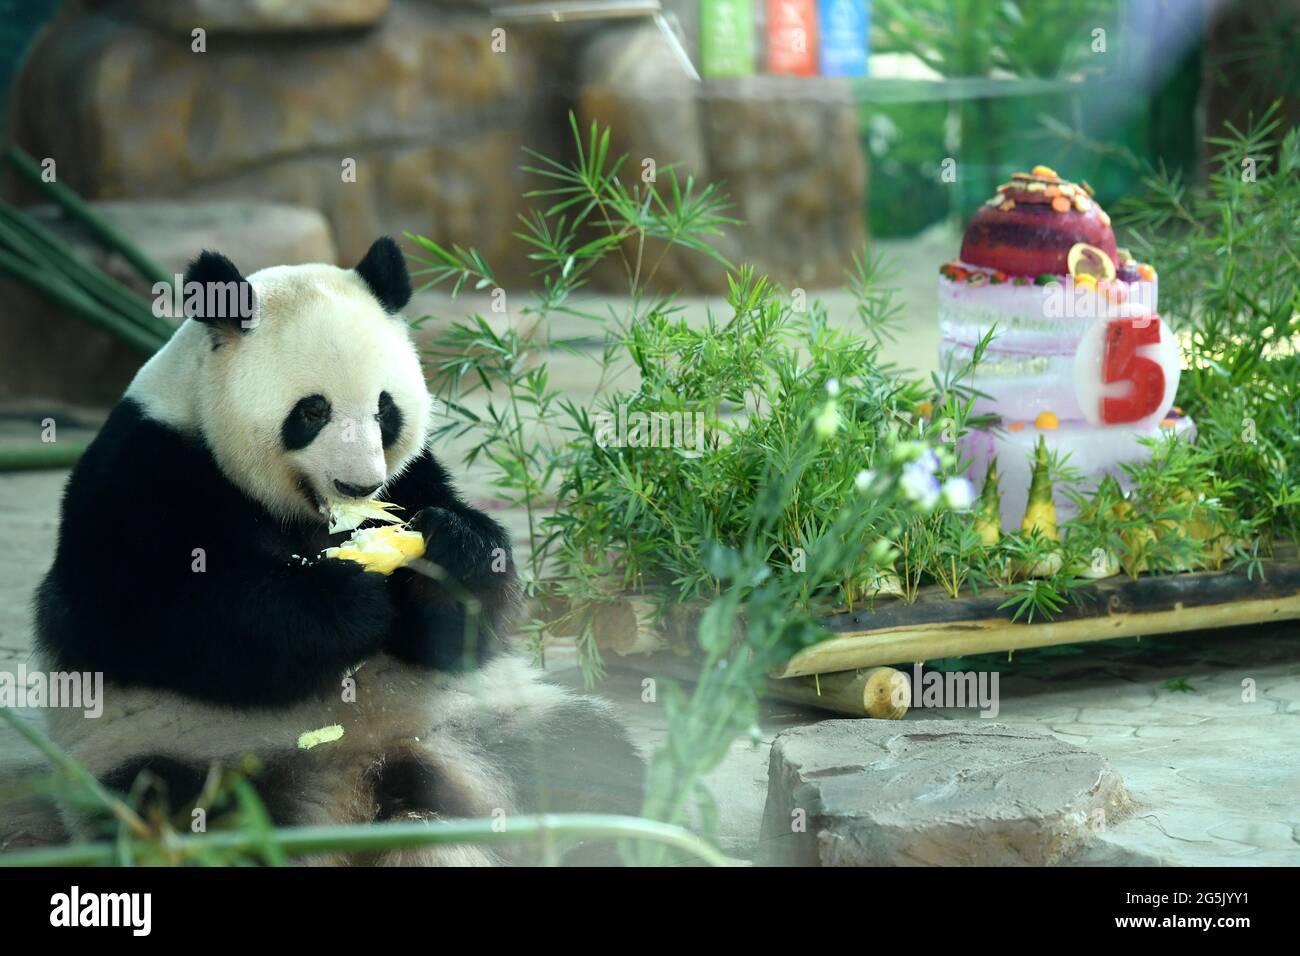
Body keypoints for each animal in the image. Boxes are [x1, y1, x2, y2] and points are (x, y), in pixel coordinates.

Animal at [38, 239, 647, 868]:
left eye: (384, 410)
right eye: (312, 411)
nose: (358, 486)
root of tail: (365, 791)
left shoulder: (413, 476)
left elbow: (461, 636)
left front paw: (452, 553)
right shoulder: (144, 468)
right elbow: (139, 615)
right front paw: (347, 603)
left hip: (483, 720)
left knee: (593, 754)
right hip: (182, 752)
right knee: (175, 808)